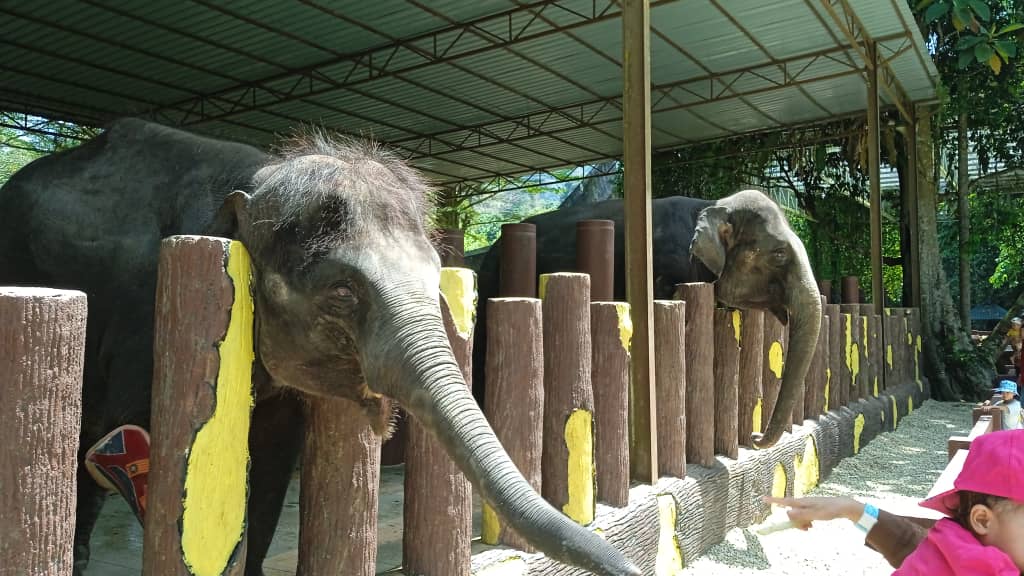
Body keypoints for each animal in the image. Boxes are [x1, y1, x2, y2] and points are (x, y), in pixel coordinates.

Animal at [0, 117, 638, 573]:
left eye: (437, 277)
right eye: (343, 290)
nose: (631, 566)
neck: (258, 174)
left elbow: (274, 458)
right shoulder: (145, 313)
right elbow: (135, 447)